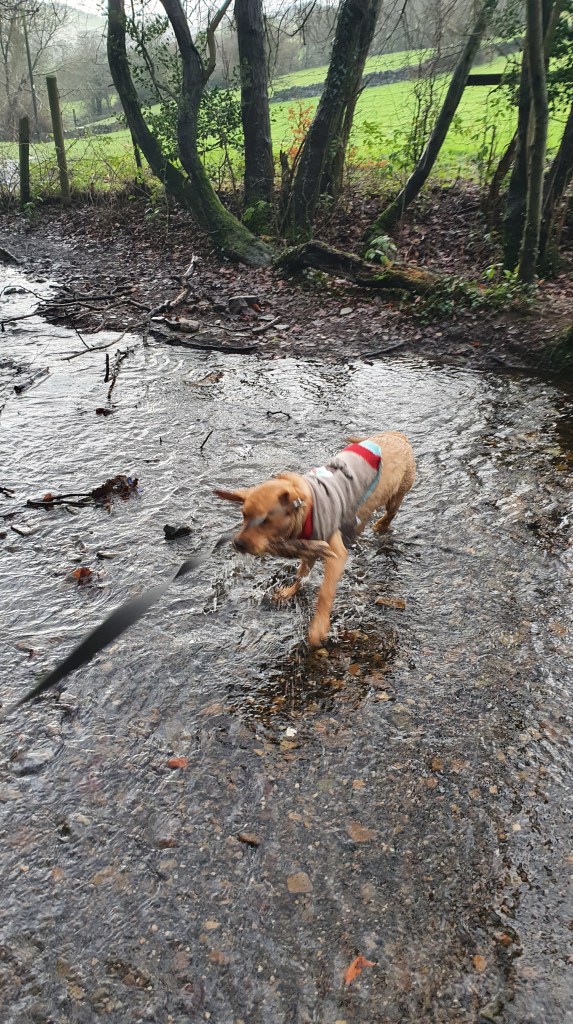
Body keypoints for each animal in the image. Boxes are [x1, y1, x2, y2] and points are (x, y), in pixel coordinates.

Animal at [215, 432, 416, 646]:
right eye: (243, 515)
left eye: (265, 520)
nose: (237, 543)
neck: (306, 511)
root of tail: (397, 435)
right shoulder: (310, 547)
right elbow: (301, 575)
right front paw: (289, 591)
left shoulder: (335, 555)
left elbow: (324, 593)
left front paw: (318, 627)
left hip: (397, 495)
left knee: (390, 514)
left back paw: (380, 525)